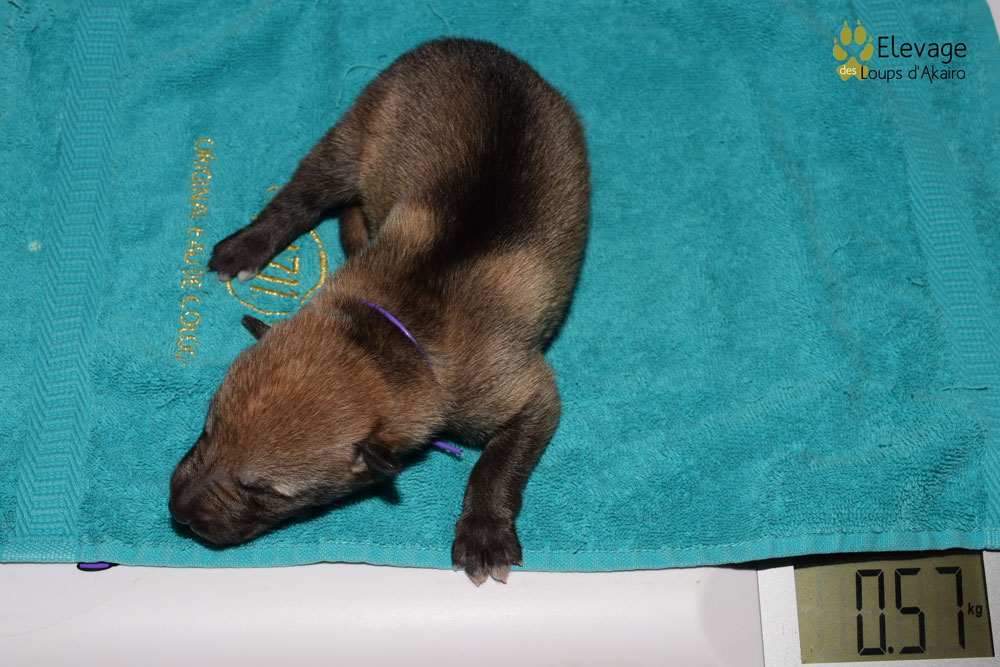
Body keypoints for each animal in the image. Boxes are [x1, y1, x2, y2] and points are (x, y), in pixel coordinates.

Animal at [168, 38, 589, 585]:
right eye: (207, 429)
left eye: (262, 491)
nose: (176, 512)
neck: (386, 335)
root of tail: (480, 48)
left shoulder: (529, 395)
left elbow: (496, 464)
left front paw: (483, 532)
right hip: (354, 131)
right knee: (300, 197)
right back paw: (248, 246)